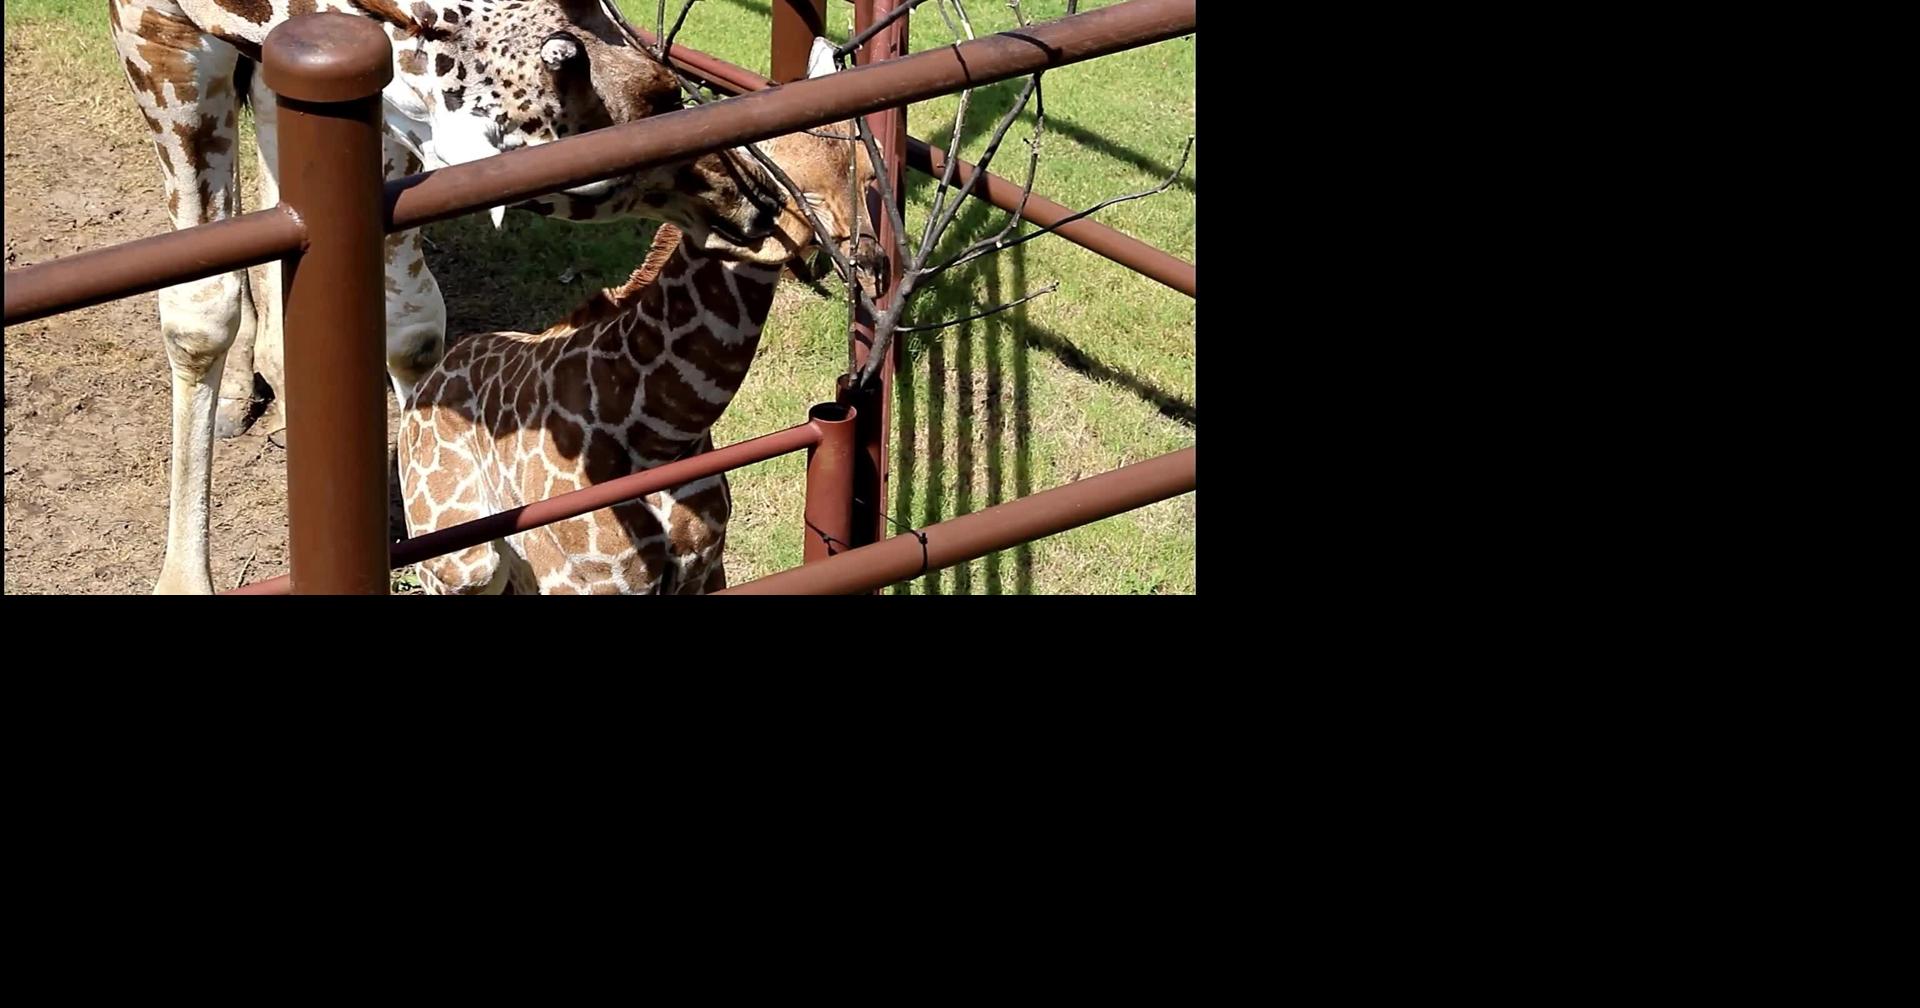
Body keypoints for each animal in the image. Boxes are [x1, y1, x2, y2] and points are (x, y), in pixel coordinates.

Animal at [111, 0, 789, 594]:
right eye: (659, 98)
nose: (759, 195)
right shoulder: (154, 31)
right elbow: (201, 311)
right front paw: (182, 582)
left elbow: (410, 325)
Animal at [399, 48, 878, 594]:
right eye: (799, 188)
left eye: (869, 174)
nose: (873, 263)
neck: (660, 431)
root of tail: (425, 385)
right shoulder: (585, 583)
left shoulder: (704, 565)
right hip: (461, 564)